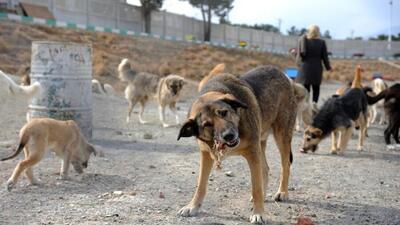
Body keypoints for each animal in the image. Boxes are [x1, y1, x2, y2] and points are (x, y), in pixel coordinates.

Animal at [177, 65, 296, 223]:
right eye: (207, 124)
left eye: (223, 112)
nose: (229, 135)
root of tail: (280, 72)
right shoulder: (206, 154)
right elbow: (201, 185)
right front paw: (193, 206)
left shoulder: (252, 152)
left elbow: (256, 187)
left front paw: (258, 213)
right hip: (261, 142)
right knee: (265, 168)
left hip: (282, 136)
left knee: (285, 165)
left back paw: (282, 192)